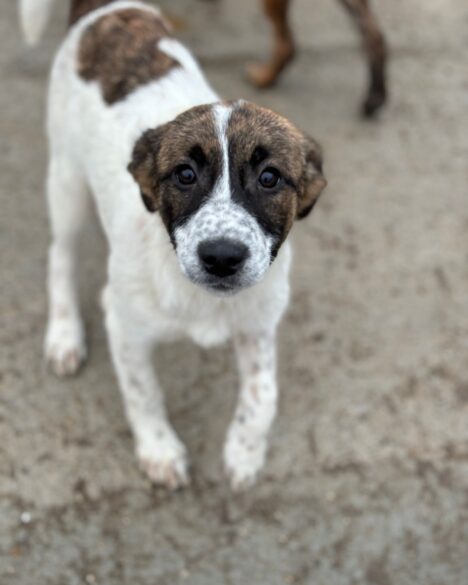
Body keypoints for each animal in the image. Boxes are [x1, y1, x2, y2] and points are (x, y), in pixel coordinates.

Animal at [20, 0, 326, 490]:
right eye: (185, 174)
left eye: (270, 178)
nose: (222, 257)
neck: (203, 300)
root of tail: (108, 9)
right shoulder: (124, 324)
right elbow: (143, 393)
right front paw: (160, 450)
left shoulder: (258, 324)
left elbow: (264, 395)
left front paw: (244, 453)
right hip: (67, 182)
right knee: (60, 255)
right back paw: (64, 334)